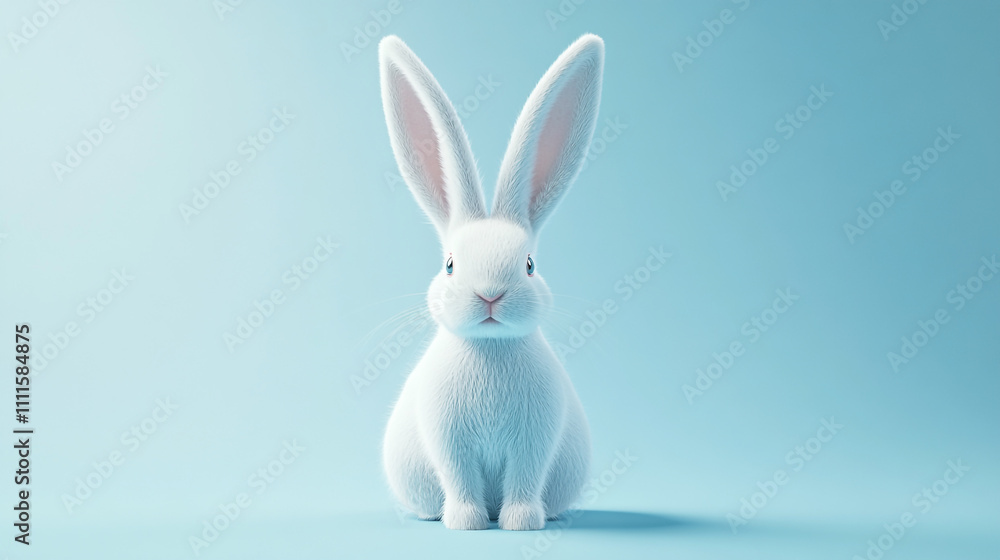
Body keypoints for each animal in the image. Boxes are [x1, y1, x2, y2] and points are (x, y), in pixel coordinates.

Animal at [378, 33, 604, 531]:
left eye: (529, 265)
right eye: (449, 264)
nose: (490, 295)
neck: (490, 348)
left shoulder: (534, 441)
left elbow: (525, 478)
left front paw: (520, 522)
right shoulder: (448, 441)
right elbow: (459, 477)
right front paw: (468, 522)